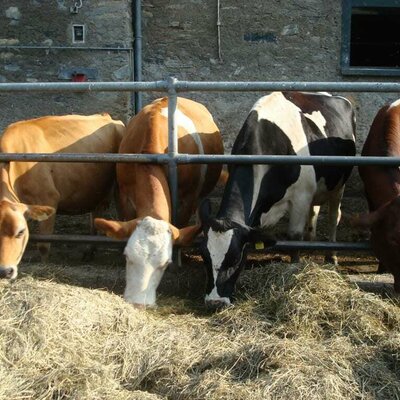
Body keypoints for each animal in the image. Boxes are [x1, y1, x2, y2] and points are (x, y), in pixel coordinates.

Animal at [0, 114, 125, 280]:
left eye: (20, 231)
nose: (5, 271)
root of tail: (108, 117)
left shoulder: (48, 198)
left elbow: (43, 246)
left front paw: (44, 266)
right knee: (96, 215)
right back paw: (89, 251)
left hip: (118, 188)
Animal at [94, 96, 225, 306]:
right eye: (127, 255)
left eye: (165, 264)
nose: (138, 303)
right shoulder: (123, 195)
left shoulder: (186, 197)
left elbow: (181, 227)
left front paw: (178, 260)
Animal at [200, 92, 356, 308]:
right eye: (205, 257)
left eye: (235, 259)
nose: (215, 302)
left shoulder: (301, 195)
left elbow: (294, 236)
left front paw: (294, 267)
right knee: (314, 212)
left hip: (339, 184)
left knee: (334, 216)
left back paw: (331, 255)